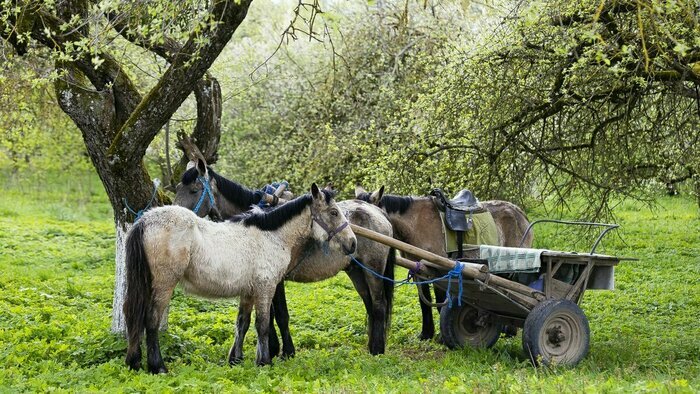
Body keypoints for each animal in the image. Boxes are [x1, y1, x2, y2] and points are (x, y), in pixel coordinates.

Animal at [121, 183, 358, 374]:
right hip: (164, 284)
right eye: (334, 212)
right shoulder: (266, 288)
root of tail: (145, 221)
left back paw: (134, 362)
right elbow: (263, 324)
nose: (353, 243)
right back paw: (157, 366)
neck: (271, 235)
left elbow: (242, 323)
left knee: (135, 317)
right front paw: (263, 362)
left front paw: (236, 359)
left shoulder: (248, 292)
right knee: (151, 320)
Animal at [358, 186, 532, 340]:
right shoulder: (418, 270)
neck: (415, 224)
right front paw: (426, 334)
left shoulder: (438, 270)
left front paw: (442, 337)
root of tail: (519, 212)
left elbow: (441, 301)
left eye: (364, 217)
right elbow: (424, 302)